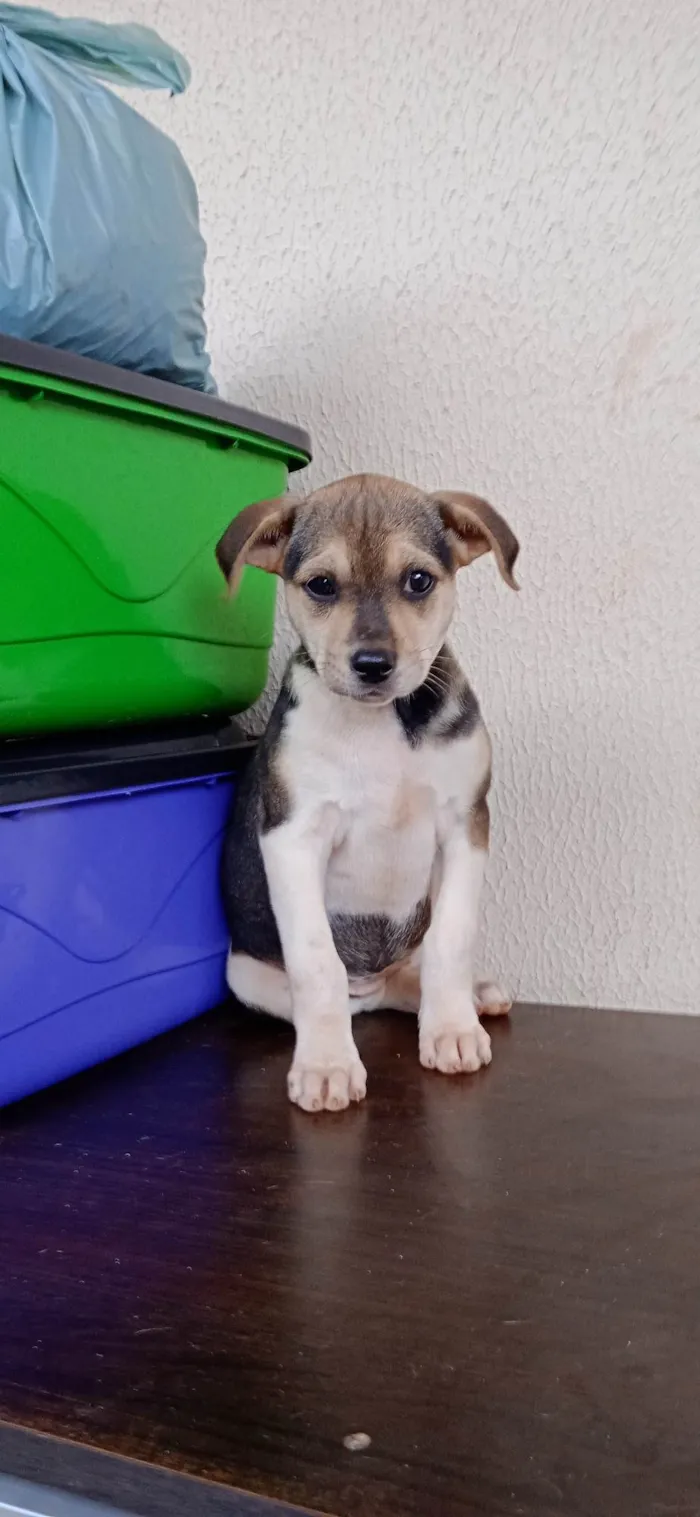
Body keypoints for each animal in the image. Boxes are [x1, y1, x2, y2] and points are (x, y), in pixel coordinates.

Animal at [218, 473, 519, 1116]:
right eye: (322, 585)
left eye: (419, 580)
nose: (374, 665)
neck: (383, 725)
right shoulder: (293, 837)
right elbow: (317, 965)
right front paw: (327, 1064)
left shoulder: (466, 824)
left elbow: (450, 940)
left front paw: (452, 1029)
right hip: (248, 978)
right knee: (350, 996)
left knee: (411, 973)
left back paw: (471, 996)